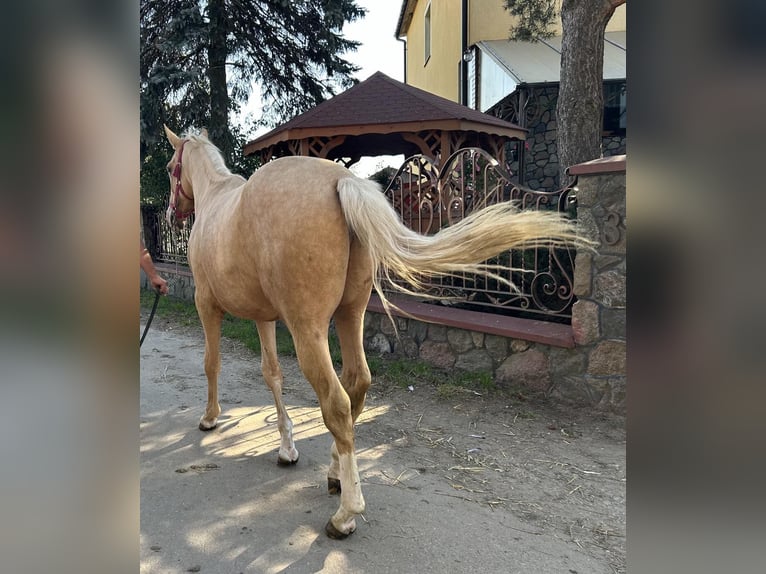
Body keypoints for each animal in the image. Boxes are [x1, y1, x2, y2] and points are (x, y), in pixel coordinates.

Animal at [164, 126, 588, 540]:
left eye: (171, 168)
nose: (172, 212)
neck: (217, 196)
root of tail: (342, 180)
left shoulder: (207, 306)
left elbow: (212, 363)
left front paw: (210, 418)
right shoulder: (263, 318)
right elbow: (273, 375)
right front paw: (286, 448)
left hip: (309, 330)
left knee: (337, 401)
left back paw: (345, 515)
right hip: (349, 316)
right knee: (357, 383)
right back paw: (335, 474)